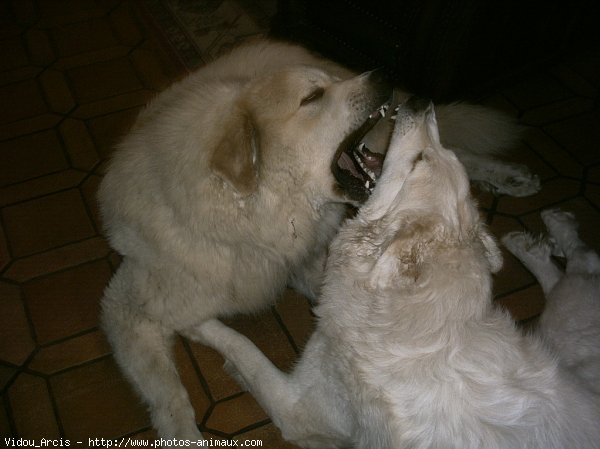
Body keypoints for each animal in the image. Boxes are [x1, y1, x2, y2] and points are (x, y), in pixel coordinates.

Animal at [97, 40, 540, 440]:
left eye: (327, 85)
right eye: (313, 97)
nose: (384, 72)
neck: (244, 220)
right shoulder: (128, 306)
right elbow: (167, 394)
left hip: (387, 134)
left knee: (452, 145)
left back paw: (510, 176)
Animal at [192, 96, 600, 446]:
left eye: (419, 161)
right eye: (441, 152)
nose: (420, 101)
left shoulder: (298, 407)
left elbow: (245, 351)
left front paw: (196, 324)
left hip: (566, 319)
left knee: (581, 263)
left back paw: (551, 229)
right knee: (574, 266)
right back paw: (536, 236)